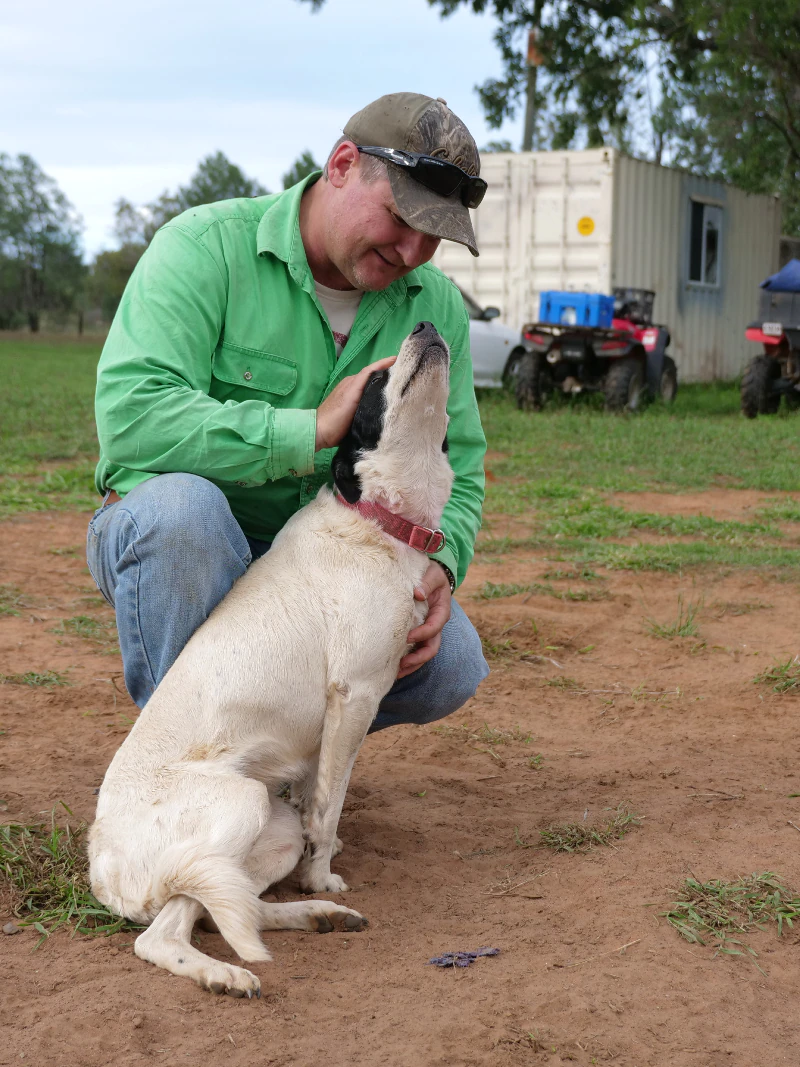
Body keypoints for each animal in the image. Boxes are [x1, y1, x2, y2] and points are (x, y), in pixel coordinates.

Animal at [90, 322, 454, 998]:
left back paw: (316, 918)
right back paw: (229, 972)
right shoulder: (355, 695)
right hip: (240, 807)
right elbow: (328, 812)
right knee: (166, 933)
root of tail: (101, 864)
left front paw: (318, 885)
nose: (426, 326)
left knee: (226, 906)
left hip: (266, 833)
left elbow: (316, 807)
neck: (376, 522)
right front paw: (323, 875)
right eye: (376, 376)